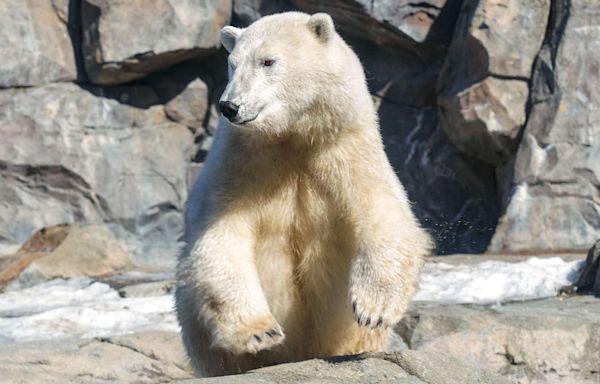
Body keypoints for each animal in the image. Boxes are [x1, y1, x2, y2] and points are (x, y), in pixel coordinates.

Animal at [176, 12, 434, 378]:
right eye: (232, 63)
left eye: (267, 61)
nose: (229, 105)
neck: (294, 137)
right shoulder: (240, 163)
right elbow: (220, 237)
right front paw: (260, 331)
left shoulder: (347, 152)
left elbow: (386, 217)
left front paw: (373, 310)